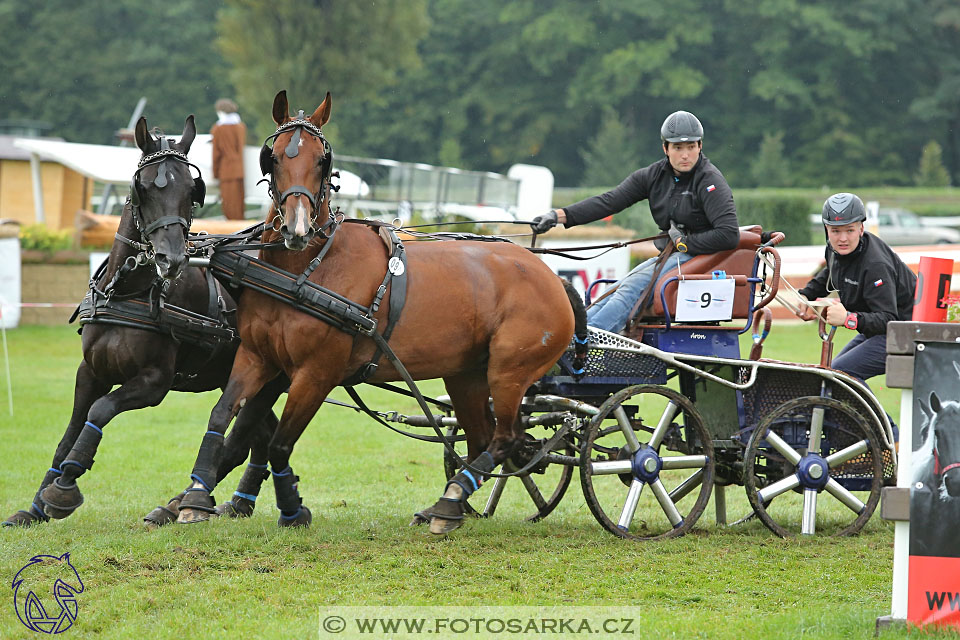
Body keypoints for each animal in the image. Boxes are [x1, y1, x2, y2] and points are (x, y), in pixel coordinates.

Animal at [2, 117, 282, 528]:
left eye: (192, 190)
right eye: (143, 186)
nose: (172, 259)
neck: (128, 292)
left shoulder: (153, 383)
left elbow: (101, 411)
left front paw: (65, 486)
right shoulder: (90, 372)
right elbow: (68, 433)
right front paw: (37, 505)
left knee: (247, 437)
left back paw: (193, 502)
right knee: (263, 434)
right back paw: (238, 502)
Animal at [179, 89, 584, 528]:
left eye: (322, 160)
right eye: (274, 157)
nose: (297, 229)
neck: (308, 267)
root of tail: (554, 279)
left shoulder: (316, 373)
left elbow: (280, 444)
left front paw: (291, 508)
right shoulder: (257, 357)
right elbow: (222, 416)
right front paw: (194, 496)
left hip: (509, 372)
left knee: (506, 438)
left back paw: (452, 499)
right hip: (466, 374)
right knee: (481, 439)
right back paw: (449, 505)